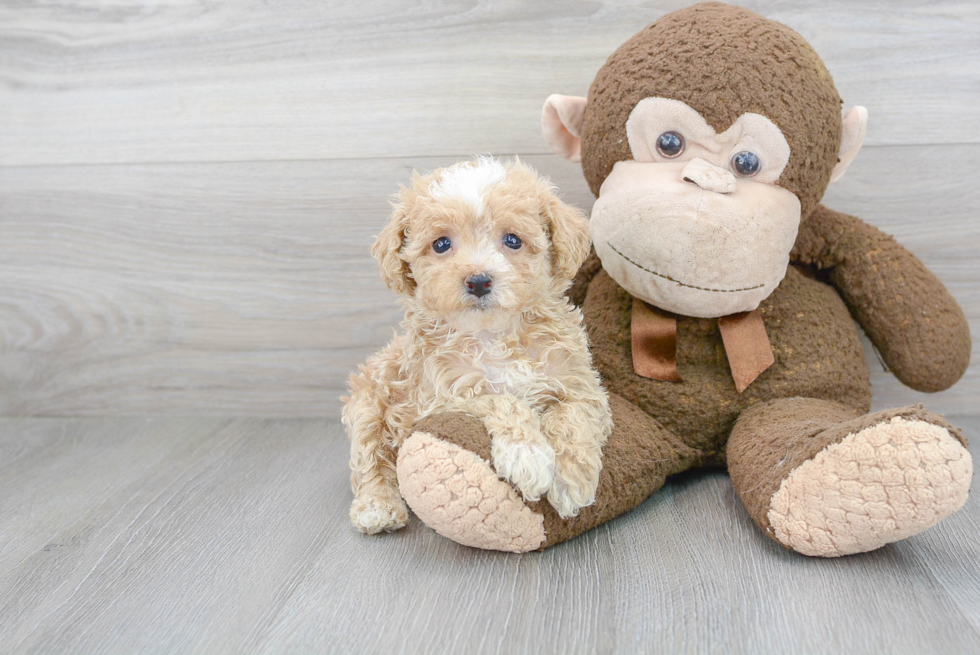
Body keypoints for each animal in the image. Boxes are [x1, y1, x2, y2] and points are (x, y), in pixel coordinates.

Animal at [340, 156, 608, 536]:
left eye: (512, 240)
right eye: (441, 244)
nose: (479, 281)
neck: (494, 334)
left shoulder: (581, 384)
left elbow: (573, 416)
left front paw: (572, 480)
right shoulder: (437, 398)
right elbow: (499, 398)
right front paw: (528, 455)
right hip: (369, 400)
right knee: (369, 459)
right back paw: (377, 507)